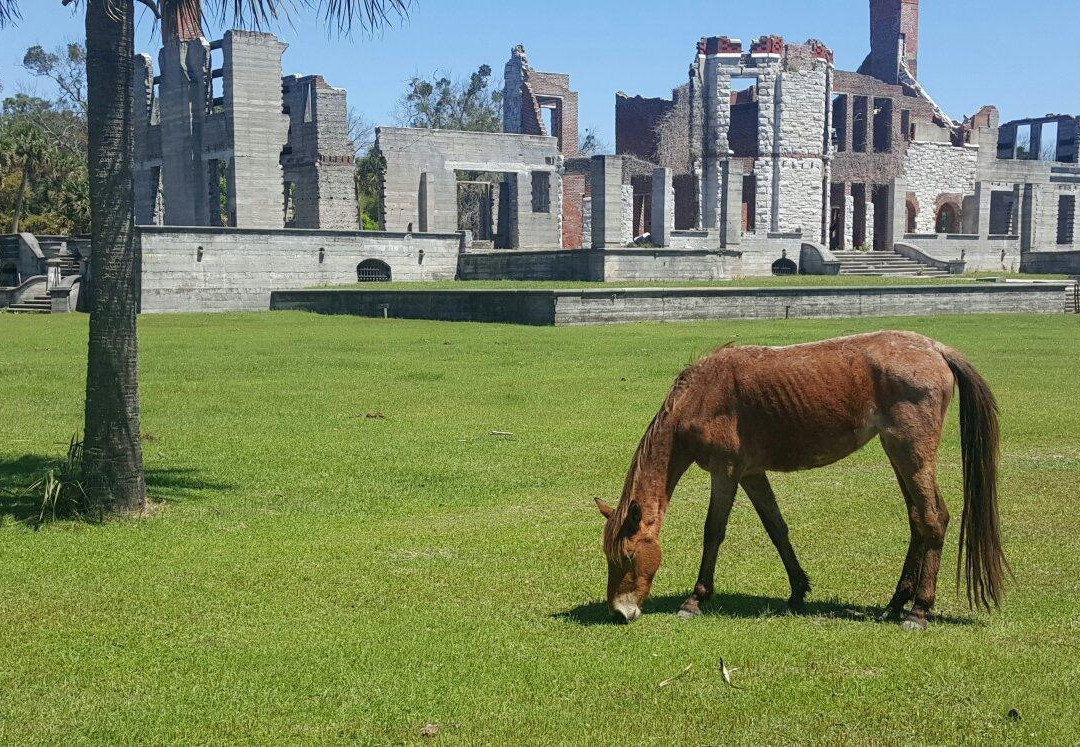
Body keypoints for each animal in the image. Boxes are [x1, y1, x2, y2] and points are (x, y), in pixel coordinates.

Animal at [591, 330, 1002, 626]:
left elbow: (714, 531)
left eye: (627, 556)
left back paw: (918, 610)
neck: (702, 396)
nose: (619, 612)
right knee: (917, 520)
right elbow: (777, 528)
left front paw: (695, 599)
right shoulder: (752, 473)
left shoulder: (725, 472)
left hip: (911, 452)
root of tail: (936, 349)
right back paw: (895, 604)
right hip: (898, 453)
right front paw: (798, 591)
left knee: (933, 518)